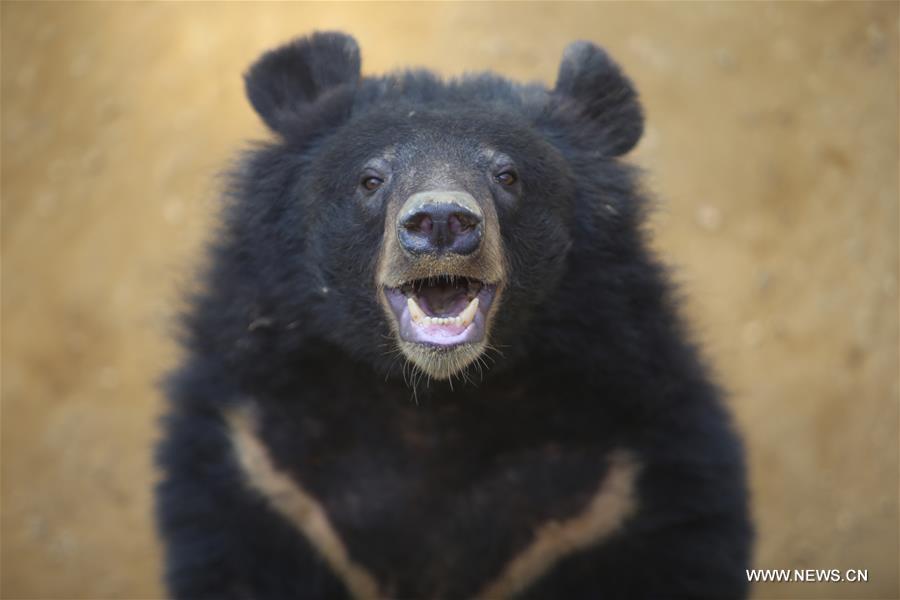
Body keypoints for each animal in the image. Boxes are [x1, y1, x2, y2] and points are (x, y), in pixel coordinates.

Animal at [156, 31, 752, 600]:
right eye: (371, 179)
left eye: (508, 176)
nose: (441, 222)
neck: (435, 400)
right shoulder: (263, 473)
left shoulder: (620, 491)